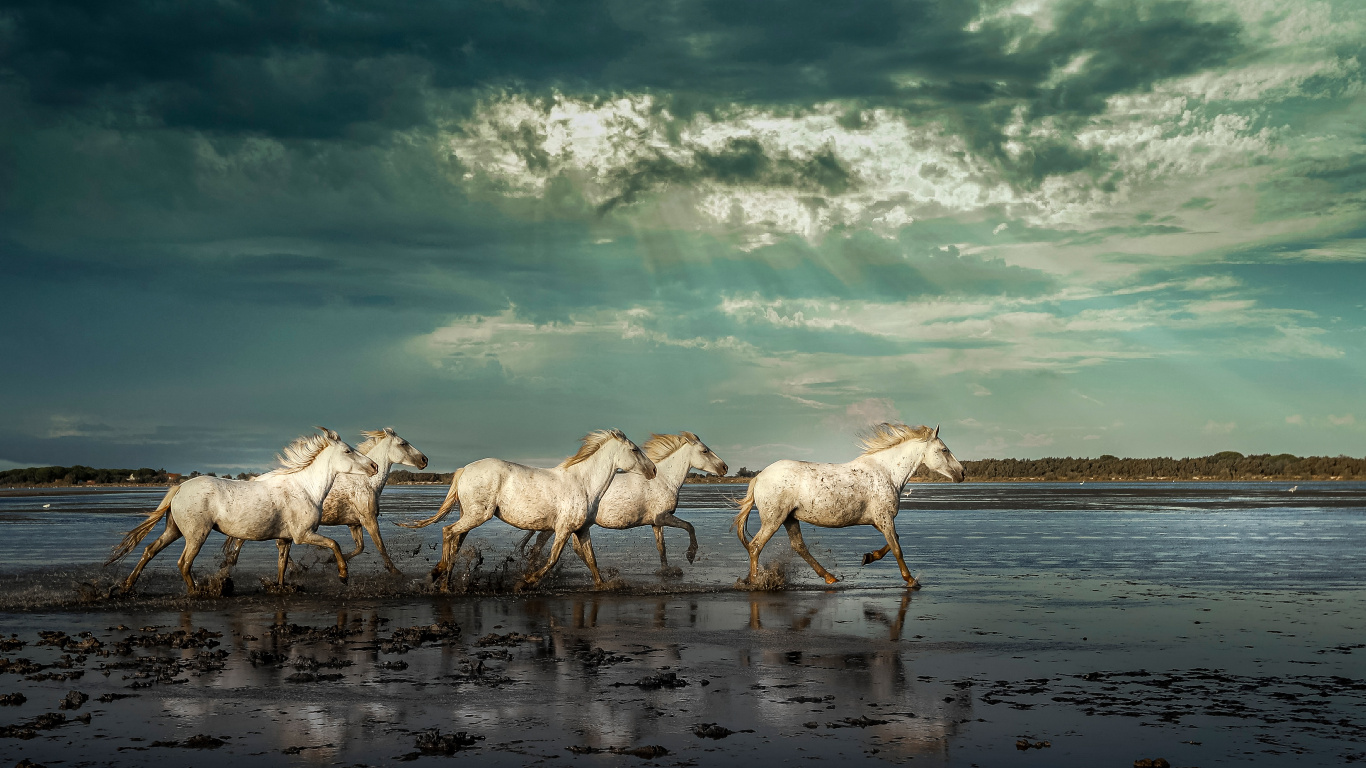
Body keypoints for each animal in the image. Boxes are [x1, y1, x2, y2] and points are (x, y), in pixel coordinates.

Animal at [106, 428, 378, 594]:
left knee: (150, 550)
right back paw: (196, 592)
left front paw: (279, 587)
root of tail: (180, 487)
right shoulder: (304, 535)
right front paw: (343, 575)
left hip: (174, 530)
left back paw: (127, 586)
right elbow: (335, 544)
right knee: (183, 563)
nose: (374, 466)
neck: (305, 488)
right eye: (347, 450)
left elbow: (282, 565)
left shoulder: (286, 539)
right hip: (196, 534)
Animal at [220, 427, 428, 576]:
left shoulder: (354, 523)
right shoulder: (369, 519)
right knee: (244, 539)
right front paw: (395, 571)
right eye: (403, 443)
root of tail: (255, 479)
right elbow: (380, 546)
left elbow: (359, 548)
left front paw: (331, 561)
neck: (365, 482)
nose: (424, 460)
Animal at [398, 429, 656, 590]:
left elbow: (592, 560)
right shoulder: (563, 529)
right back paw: (438, 574)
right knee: (448, 532)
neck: (583, 483)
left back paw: (445, 583)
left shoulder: (581, 530)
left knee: (456, 540)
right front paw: (525, 582)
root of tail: (464, 469)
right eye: (634, 449)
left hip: (469, 515)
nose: (653, 470)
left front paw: (602, 585)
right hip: (477, 515)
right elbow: (552, 559)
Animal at [517, 431, 728, 571]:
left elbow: (662, 548)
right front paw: (690, 555)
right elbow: (689, 526)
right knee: (539, 546)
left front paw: (668, 571)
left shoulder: (656, 523)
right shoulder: (662, 517)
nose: (725, 468)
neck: (665, 480)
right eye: (705, 451)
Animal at [732, 423, 964, 588]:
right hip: (774, 519)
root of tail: (760, 476)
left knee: (798, 546)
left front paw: (868, 557)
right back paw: (755, 582)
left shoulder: (879, 521)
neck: (887, 473)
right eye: (944, 450)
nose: (962, 473)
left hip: (790, 519)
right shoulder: (885, 518)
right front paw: (911, 580)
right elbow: (897, 548)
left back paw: (830, 577)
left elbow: (893, 542)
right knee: (755, 546)